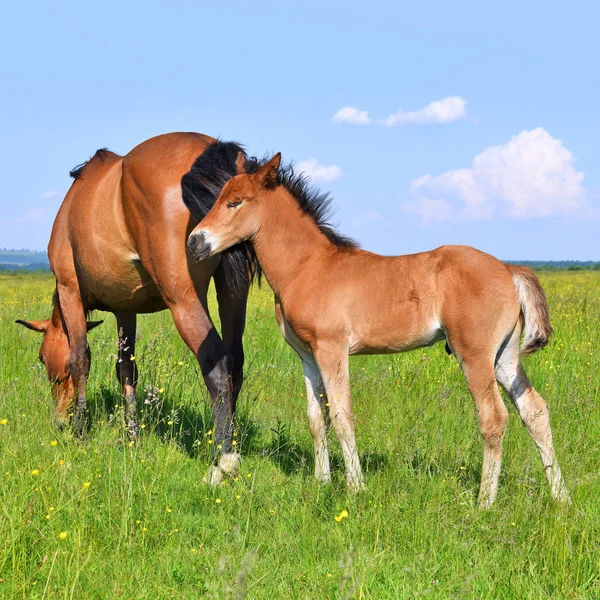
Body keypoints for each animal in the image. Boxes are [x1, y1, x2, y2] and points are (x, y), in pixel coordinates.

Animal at [14, 132, 254, 482]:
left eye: (42, 357)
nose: (58, 419)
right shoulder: (125, 309)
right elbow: (126, 369)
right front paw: (132, 435)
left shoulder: (70, 292)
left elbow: (79, 359)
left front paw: (79, 429)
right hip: (233, 293)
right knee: (235, 364)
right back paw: (231, 443)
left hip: (183, 299)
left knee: (218, 366)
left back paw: (222, 459)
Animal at [185, 149, 568, 506]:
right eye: (218, 198)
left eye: (235, 202)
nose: (194, 242)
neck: (307, 267)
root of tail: (509, 269)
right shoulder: (307, 356)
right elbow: (316, 417)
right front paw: (321, 482)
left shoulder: (332, 349)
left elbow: (342, 415)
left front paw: (356, 487)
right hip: (505, 356)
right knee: (534, 410)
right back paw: (560, 497)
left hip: (474, 355)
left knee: (494, 417)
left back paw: (484, 502)